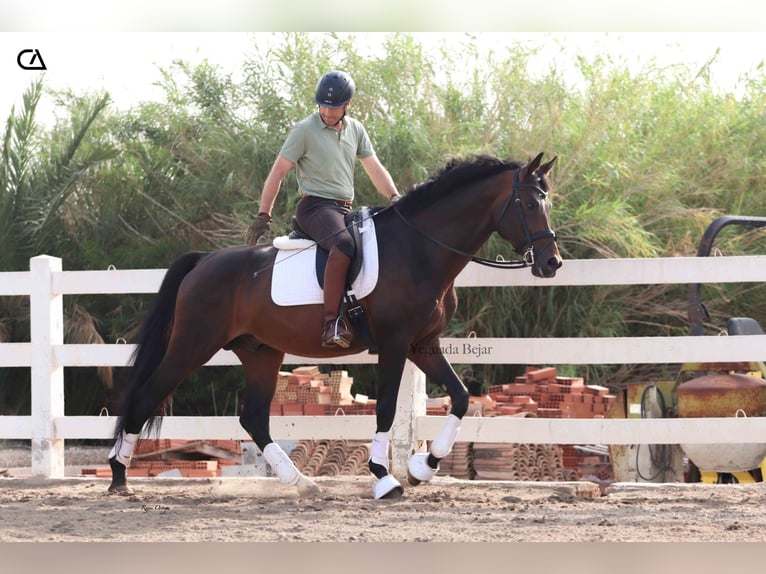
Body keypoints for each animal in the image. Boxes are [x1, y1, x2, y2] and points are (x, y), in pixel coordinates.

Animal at [106, 152, 564, 500]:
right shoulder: (395, 343)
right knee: (145, 395)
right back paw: (119, 475)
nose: (551, 263)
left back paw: (300, 481)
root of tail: (203, 260)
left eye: (547, 203)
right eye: (528, 204)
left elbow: (462, 397)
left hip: (260, 352)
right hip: (193, 344)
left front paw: (423, 466)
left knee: (253, 418)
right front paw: (384, 477)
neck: (419, 249)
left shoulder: (422, 343)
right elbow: (385, 407)